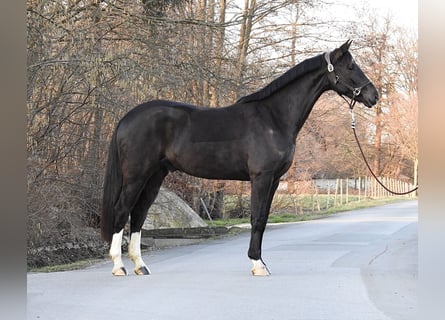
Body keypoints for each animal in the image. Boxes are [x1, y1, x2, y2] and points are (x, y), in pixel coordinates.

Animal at [99, 40, 374, 276]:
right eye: (351, 66)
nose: (374, 95)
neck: (273, 117)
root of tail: (127, 118)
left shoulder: (274, 180)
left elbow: (263, 219)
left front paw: (260, 262)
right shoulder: (261, 177)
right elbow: (257, 218)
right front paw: (258, 264)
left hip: (155, 176)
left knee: (139, 213)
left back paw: (140, 265)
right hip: (136, 175)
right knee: (122, 210)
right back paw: (118, 266)